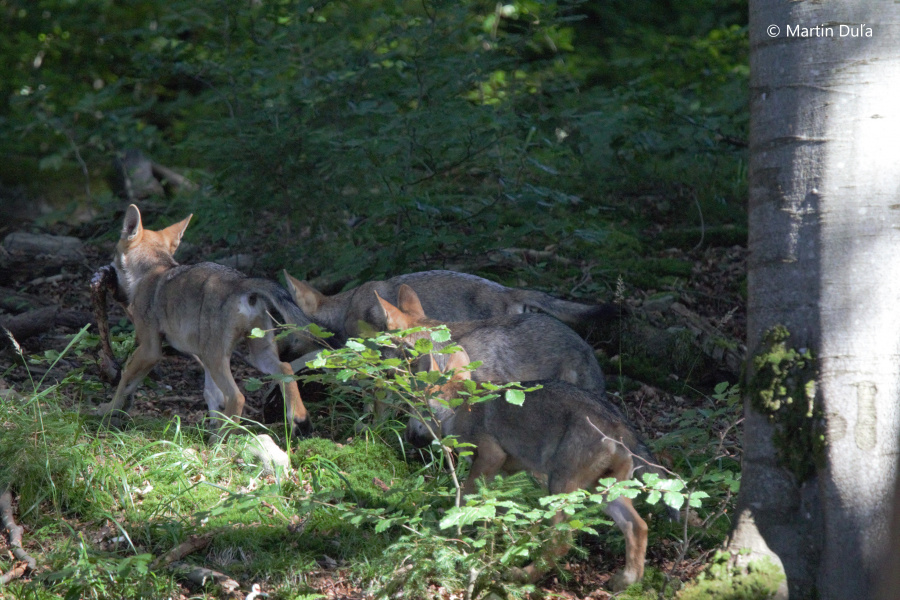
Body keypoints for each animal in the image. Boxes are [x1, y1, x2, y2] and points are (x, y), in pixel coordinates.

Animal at [96, 204, 314, 434]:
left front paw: (107, 410)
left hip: (217, 357)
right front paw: (209, 431)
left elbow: (124, 379)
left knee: (237, 396)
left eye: (113, 255)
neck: (151, 271)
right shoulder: (196, 356)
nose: (107, 275)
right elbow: (212, 396)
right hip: (256, 355)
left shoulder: (150, 349)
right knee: (286, 369)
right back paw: (300, 420)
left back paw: (226, 438)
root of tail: (242, 282)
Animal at [408, 346, 668, 592]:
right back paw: (628, 581)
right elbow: (494, 509)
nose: (408, 437)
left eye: (414, 407)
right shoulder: (505, 470)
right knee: (638, 527)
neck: (458, 406)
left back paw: (522, 575)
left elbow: (465, 498)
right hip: (603, 493)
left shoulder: (491, 456)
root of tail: (620, 423)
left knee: (562, 540)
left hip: (560, 488)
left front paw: (451, 530)